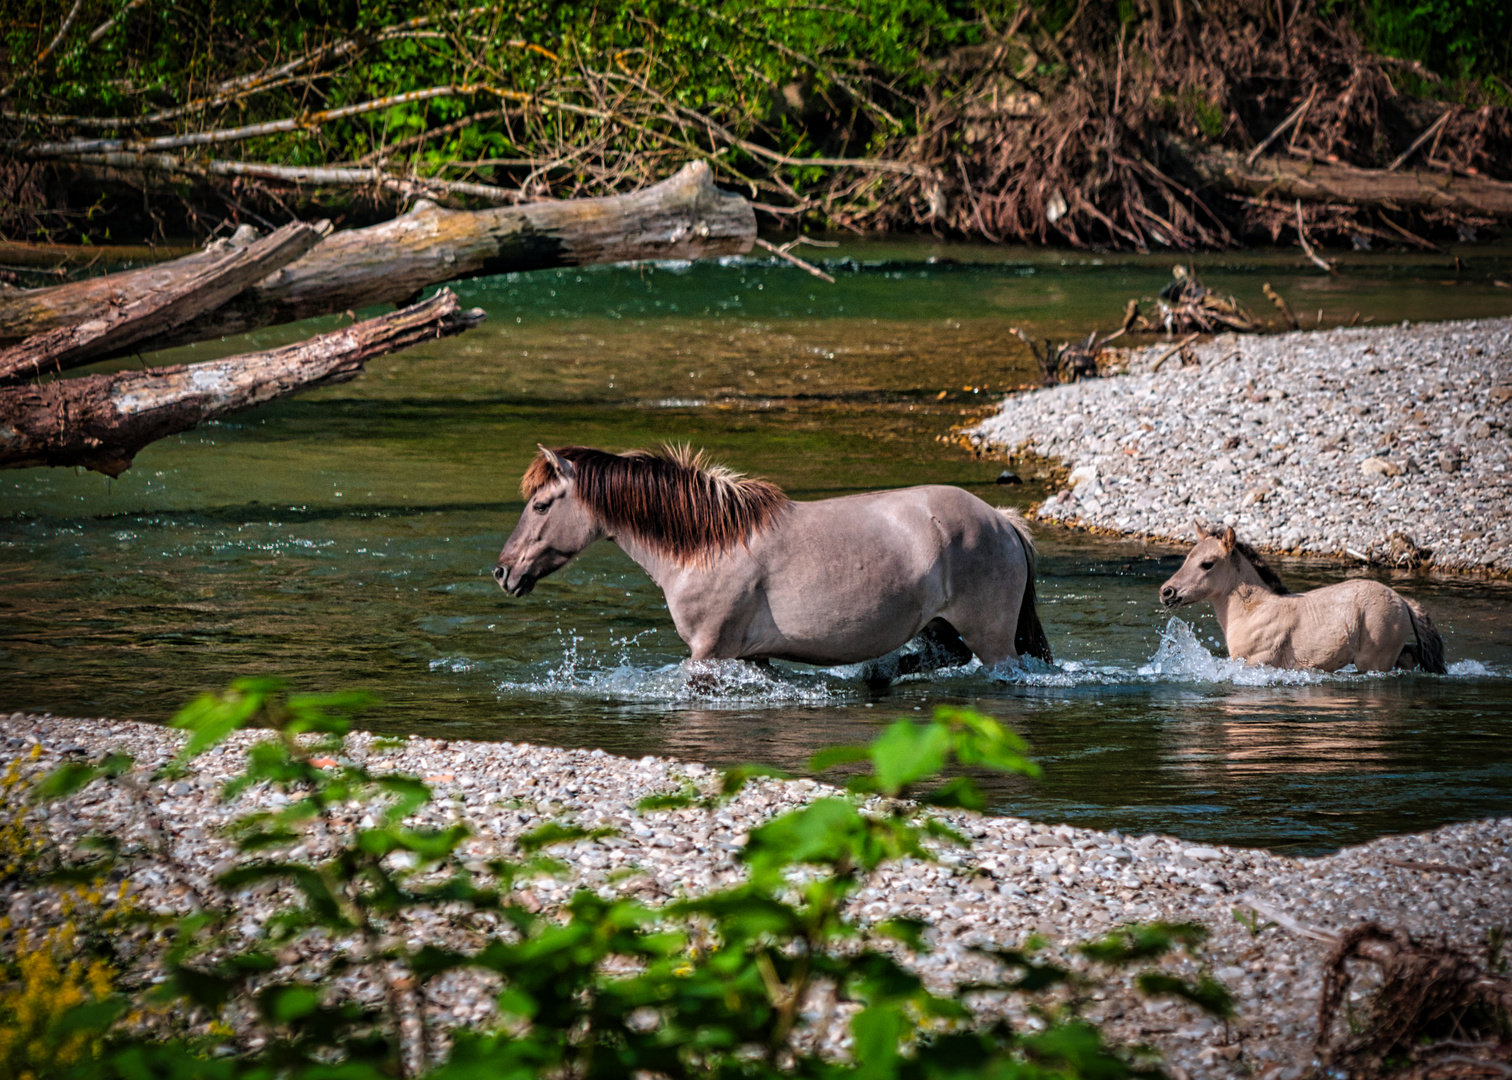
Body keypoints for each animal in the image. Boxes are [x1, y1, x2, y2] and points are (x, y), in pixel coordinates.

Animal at [495, 441, 1052, 668]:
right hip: (939, 625)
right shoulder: (751, 656)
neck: (708, 545)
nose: (503, 571)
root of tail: (1002, 519)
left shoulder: (708, 654)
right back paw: (877, 677)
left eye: (541, 504)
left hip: (992, 639)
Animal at [1161, 517, 1445, 668]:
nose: (1167, 592)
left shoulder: (1257, 662)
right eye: (1188, 557)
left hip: (1373, 662)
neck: (1254, 611)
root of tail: (1402, 601)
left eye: (1207, 564)